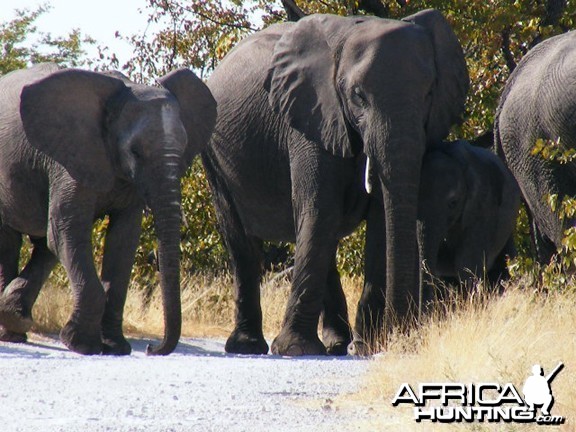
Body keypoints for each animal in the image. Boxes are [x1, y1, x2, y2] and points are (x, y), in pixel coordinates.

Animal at [0, 63, 216, 354]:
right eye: (135, 152)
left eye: (183, 149)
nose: (151, 348)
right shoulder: (70, 158)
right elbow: (68, 229)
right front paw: (83, 345)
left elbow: (123, 241)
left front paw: (115, 347)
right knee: (14, 242)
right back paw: (11, 329)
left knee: (46, 246)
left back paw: (14, 318)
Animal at [202, 8, 468, 356]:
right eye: (358, 96)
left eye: (428, 93)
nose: (401, 338)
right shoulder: (308, 116)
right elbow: (321, 208)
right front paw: (295, 350)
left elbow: (380, 223)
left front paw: (366, 347)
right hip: (214, 157)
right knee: (243, 239)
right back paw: (248, 347)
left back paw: (337, 343)